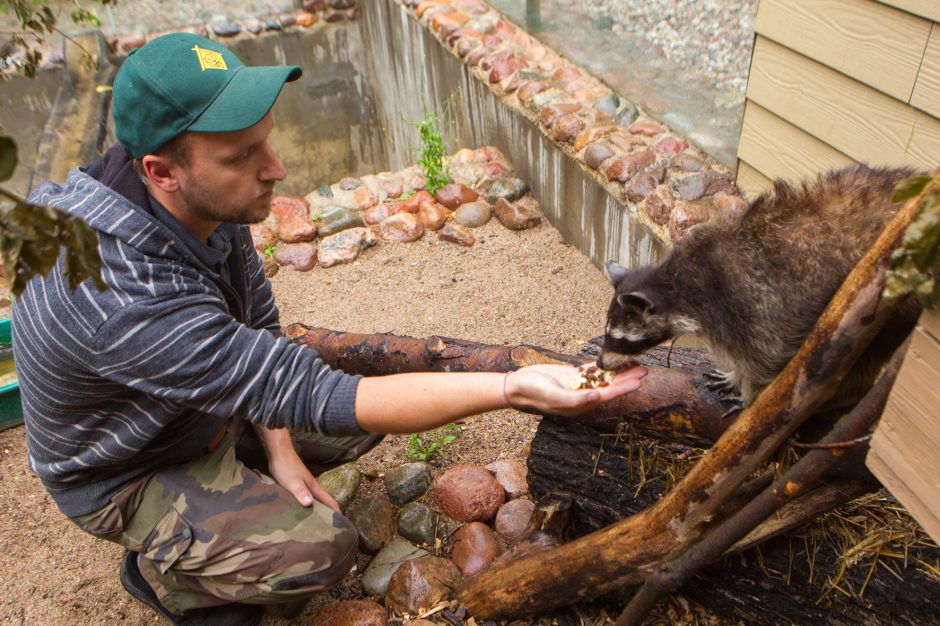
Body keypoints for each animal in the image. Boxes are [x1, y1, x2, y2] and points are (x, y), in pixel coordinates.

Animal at [604, 165, 916, 404]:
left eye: (619, 338)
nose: (600, 363)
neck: (678, 284)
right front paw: (734, 376)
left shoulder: (749, 302)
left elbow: (766, 357)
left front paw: (748, 393)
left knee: (865, 357)